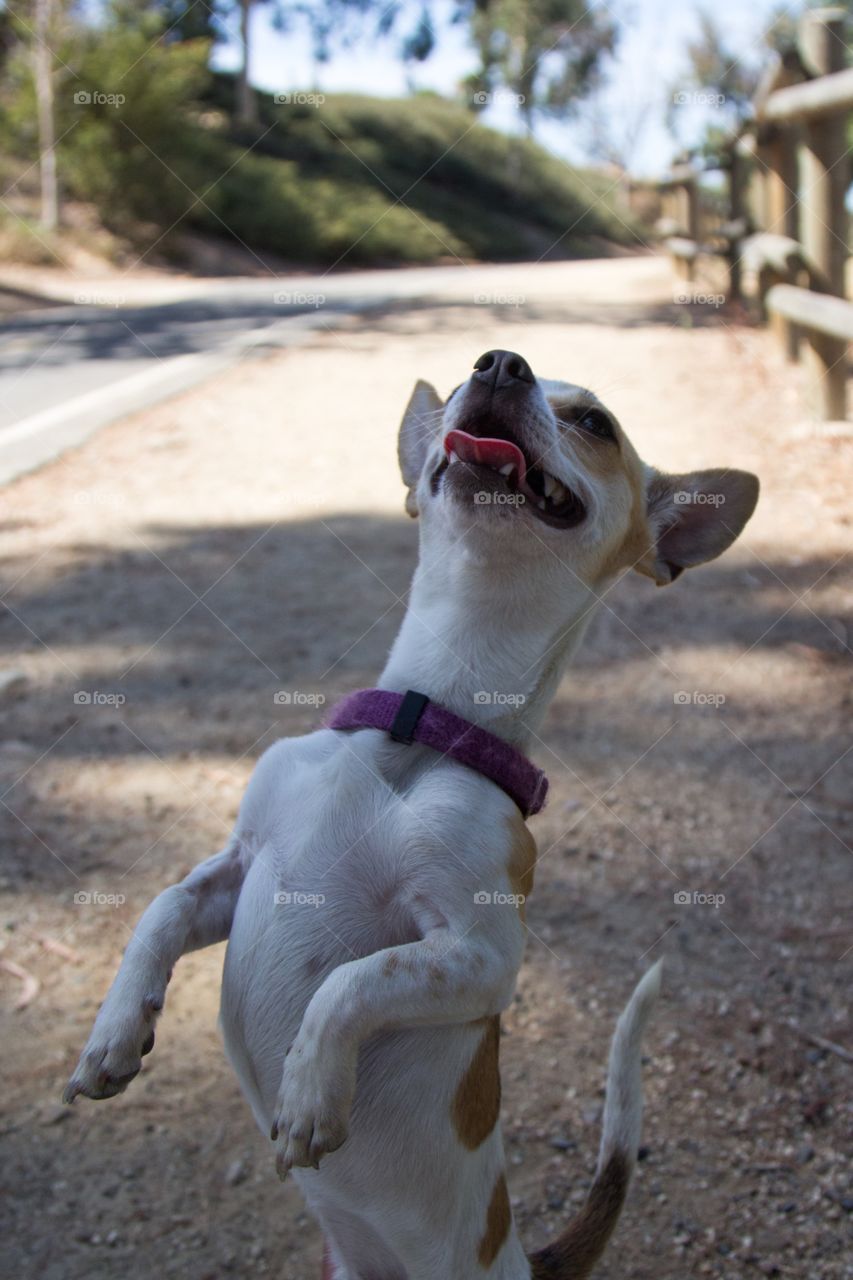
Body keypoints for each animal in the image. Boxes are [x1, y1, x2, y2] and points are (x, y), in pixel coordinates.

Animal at [66, 350, 758, 1280]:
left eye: (595, 423)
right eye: (478, 371)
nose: (498, 363)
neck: (419, 725)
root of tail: (524, 1259)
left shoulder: (480, 953)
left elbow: (354, 980)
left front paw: (310, 1087)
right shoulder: (241, 868)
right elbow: (160, 908)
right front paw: (114, 1033)